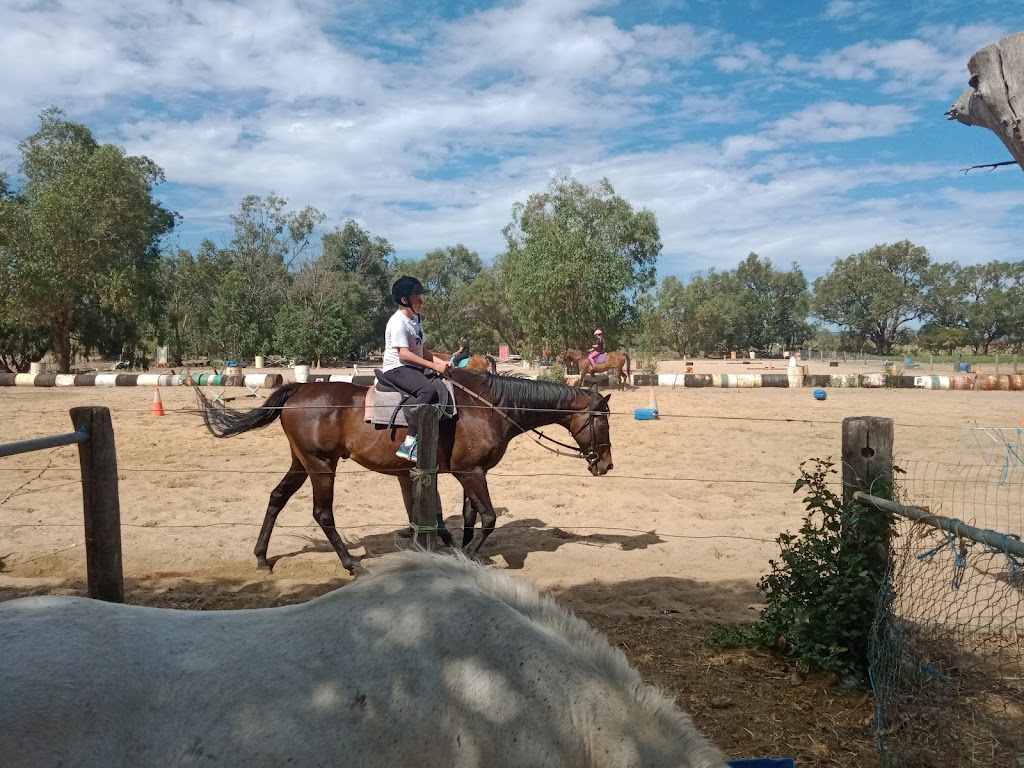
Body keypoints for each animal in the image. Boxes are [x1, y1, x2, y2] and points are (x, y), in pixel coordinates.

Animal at [194, 368, 610, 577]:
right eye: (603, 422)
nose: (606, 464)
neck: (489, 407)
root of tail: (296, 389)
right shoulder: (470, 472)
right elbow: (488, 517)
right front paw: (466, 555)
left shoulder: (467, 473)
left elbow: (469, 516)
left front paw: (461, 549)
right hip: (322, 465)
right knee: (322, 513)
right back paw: (351, 564)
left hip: (301, 462)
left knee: (277, 497)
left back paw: (262, 557)